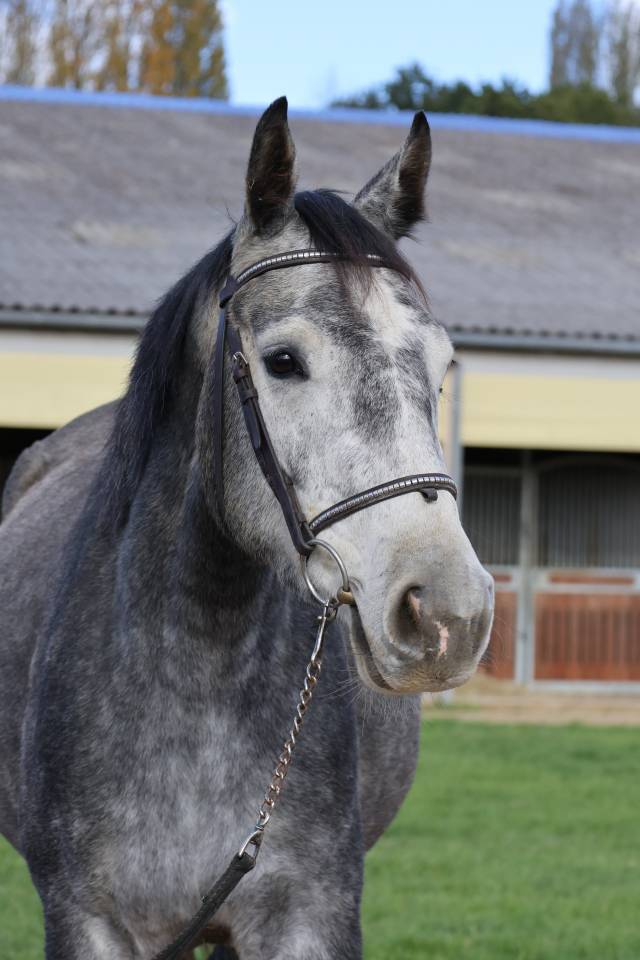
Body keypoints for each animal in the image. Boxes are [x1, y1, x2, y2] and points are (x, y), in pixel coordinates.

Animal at [0, 97, 493, 959]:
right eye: (284, 360)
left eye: (439, 369)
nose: (447, 612)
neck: (195, 666)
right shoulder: (84, 919)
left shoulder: (309, 914)